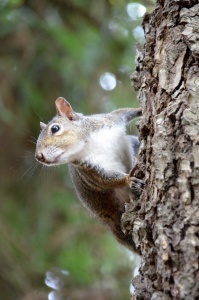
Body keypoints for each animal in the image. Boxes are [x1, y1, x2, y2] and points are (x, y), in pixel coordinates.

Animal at [35, 98, 142, 253]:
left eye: (55, 128)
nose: (39, 156)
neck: (88, 144)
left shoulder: (110, 120)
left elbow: (125, 111)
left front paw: (141, 109)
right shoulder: (90, 171)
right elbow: (107, 180)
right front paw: (128, 179)